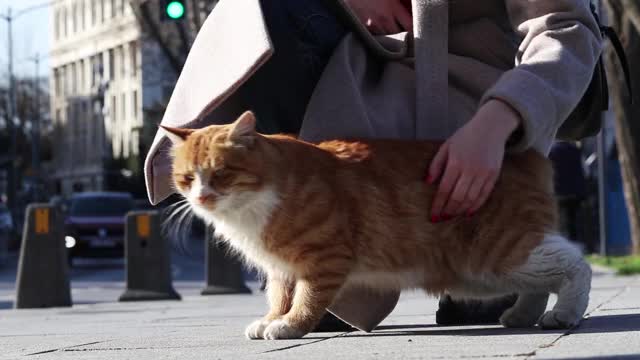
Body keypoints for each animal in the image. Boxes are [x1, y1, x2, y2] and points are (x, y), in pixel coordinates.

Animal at [162, 111, 592, 338]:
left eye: (220, 175)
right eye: (187, 178)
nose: (201, 197)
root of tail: (524, 154)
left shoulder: (324, 260)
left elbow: (305, 301)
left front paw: (289, 326)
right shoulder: (281, 268)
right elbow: (279, 297)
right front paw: (271, 319)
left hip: (496, 252)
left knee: (574, 263)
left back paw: (564, 313)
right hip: (485, 272)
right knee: (540, 281)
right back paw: (523, 315)